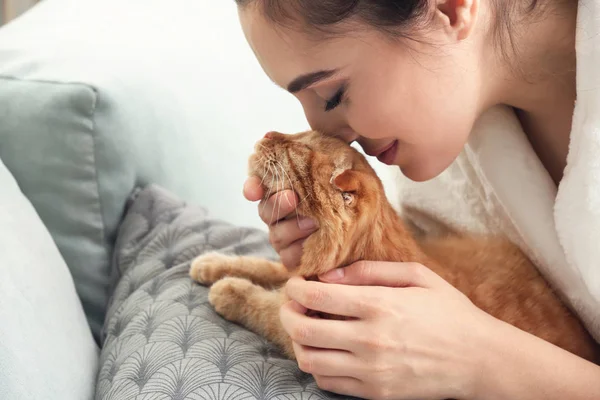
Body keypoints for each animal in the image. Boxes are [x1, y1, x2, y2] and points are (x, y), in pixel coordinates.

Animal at [190, 130, 596, 362]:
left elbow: (261, 306)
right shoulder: (296, 272)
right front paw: (210, 264)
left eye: (299, 148)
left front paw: (227, 290)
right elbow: (265, 266)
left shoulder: (304, 331)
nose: (267, 134)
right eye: (299, 132)